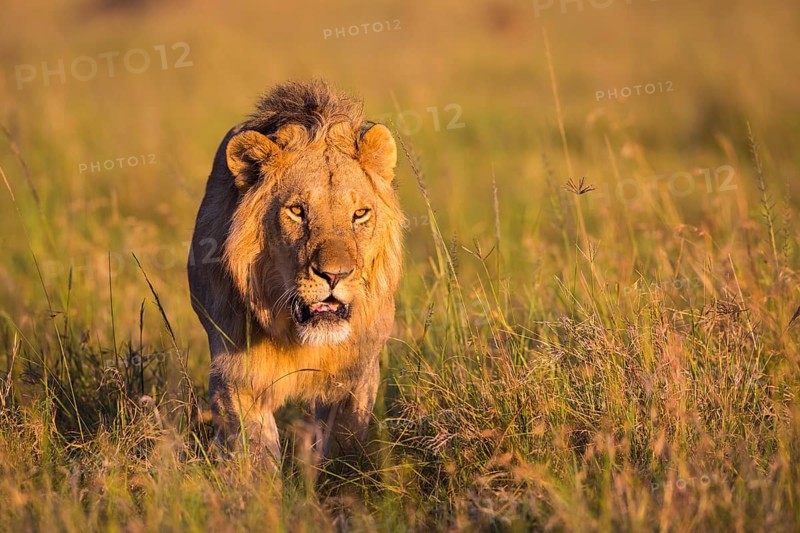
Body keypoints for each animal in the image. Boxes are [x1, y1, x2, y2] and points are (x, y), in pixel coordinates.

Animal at [187, 80, 404, 467]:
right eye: (298, 211)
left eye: (360, 214)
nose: (335, 275)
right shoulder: (236, 375)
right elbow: (254, 449)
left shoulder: (356, 375)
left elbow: (345, 441)